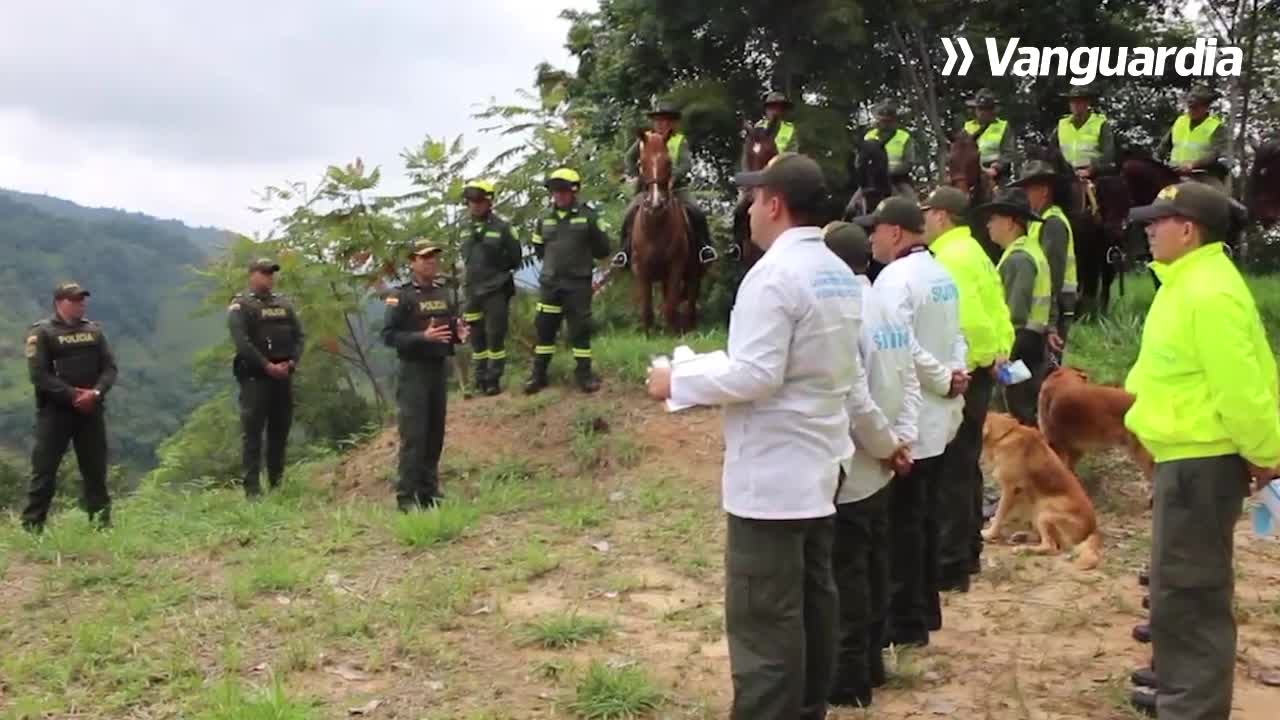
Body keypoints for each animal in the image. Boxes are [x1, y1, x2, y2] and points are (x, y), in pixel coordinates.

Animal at [629, 128, 701, 330]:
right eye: (641, 162)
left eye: (668, 162)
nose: (656, 203)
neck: (655, 229)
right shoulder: (641, 269)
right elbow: (647, 308)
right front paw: (648, 332)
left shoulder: (675, 267)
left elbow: (671, 306)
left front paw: (672, 331)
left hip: (693, 271)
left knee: (689, 299)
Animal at [977, 412, 1100, 568]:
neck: (1004, 435)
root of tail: (1092, 530)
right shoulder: (1020, 494)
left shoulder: (1010, 489)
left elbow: (1000, 514)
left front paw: (989, 533)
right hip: (1037, 510)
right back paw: (1022, 536)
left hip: (1045, 512)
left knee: (1051, 546)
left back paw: (1024, 549)